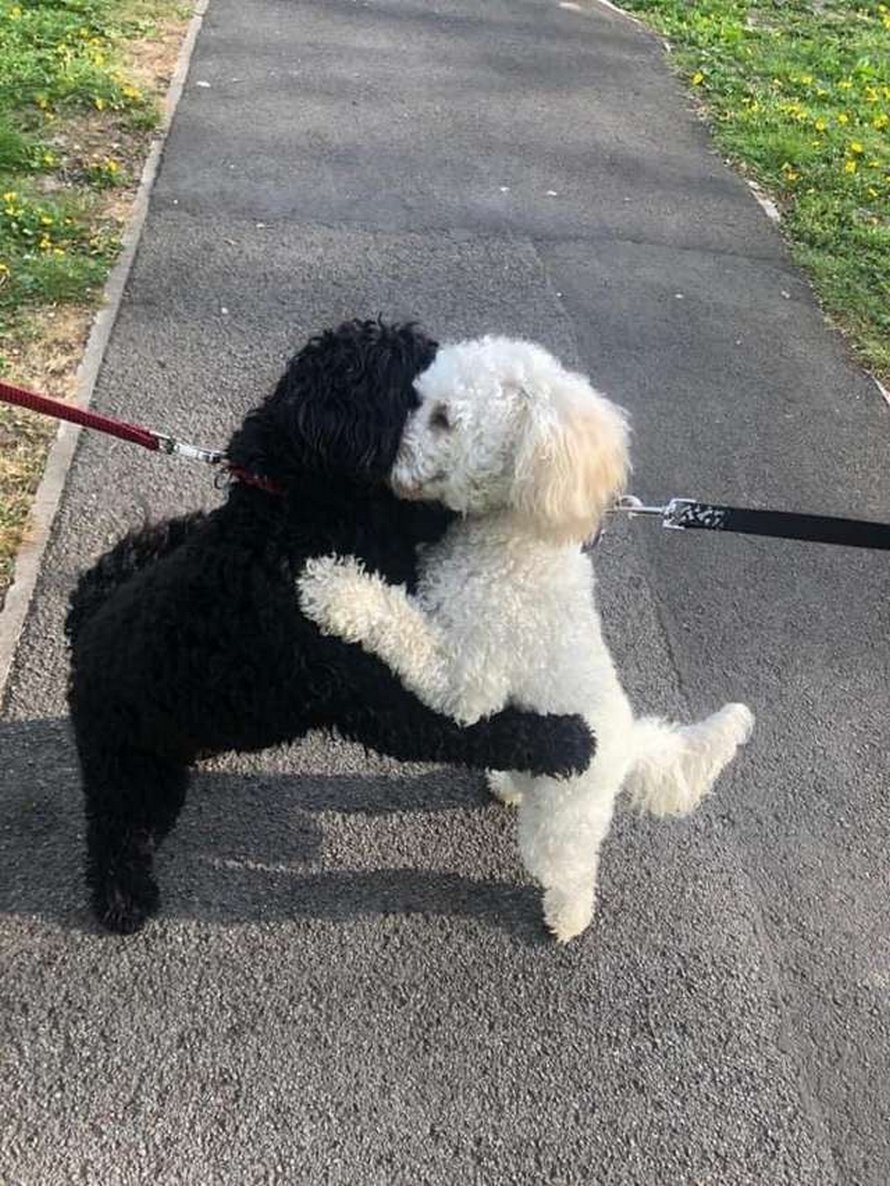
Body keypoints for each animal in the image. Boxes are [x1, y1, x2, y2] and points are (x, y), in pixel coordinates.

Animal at [66, 320, 588, 929]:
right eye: (416, 389)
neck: (293, 515)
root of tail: (83, 629)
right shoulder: (376, 700)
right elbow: (479, 729)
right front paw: (570, 740)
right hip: (129, 770)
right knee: (117, 832)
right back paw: (122, 898)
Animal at [297, 339, 754, 939]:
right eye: (417, 399)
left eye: (443, 418)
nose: (385, 464)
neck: (516, 534)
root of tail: (629, 742)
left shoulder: (467, 681)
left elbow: (399, 621)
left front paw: (333, 589)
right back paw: (507, 784)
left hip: (563, 820)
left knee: (570, 871)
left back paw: (568, 920)